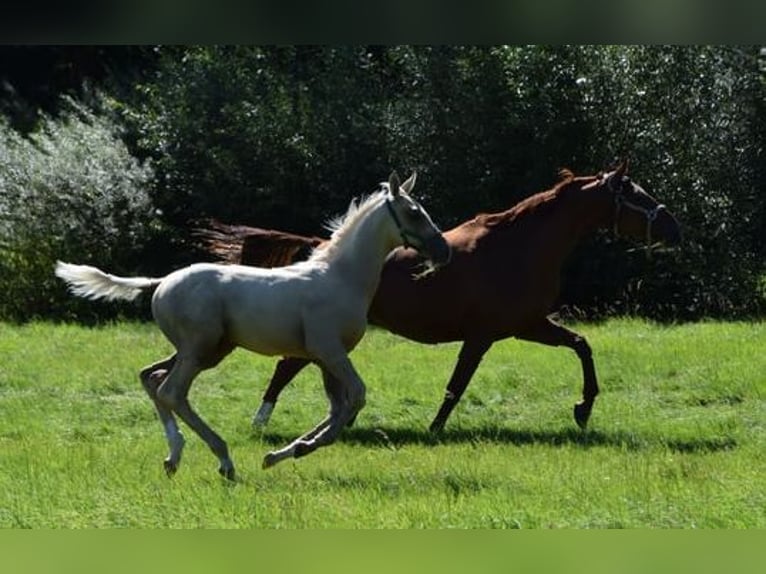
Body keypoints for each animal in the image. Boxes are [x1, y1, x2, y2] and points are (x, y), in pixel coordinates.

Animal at [204, 161, 684, 432]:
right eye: (636, 194)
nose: (673, 227)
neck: (520, 247)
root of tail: (318, 250)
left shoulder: (528, 326)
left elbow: (582, 345)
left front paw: (582, 409)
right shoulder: (487, 335)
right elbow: (457, 385)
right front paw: (435, 429)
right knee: (286, 367)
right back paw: (262, 423)